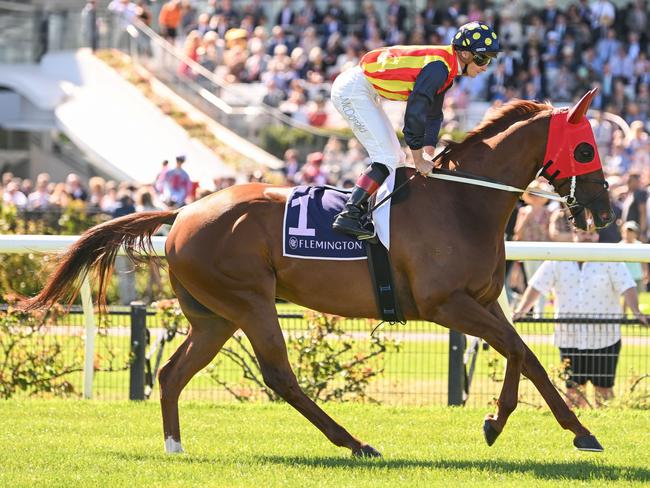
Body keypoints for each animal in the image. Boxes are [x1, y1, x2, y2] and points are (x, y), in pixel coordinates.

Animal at [24, 93, 612, 456]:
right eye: (586, 147)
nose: (605, 211)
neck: (463, 200)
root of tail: (185, 210)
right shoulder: (445, 304)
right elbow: (517, 351)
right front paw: (516, 423)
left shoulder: (485, 300)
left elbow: (523, 353)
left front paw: (556, 428)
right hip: (250, 302)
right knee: (280, 376)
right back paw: (355, 443)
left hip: (214, 317)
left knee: (171, 374)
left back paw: (175, 445)